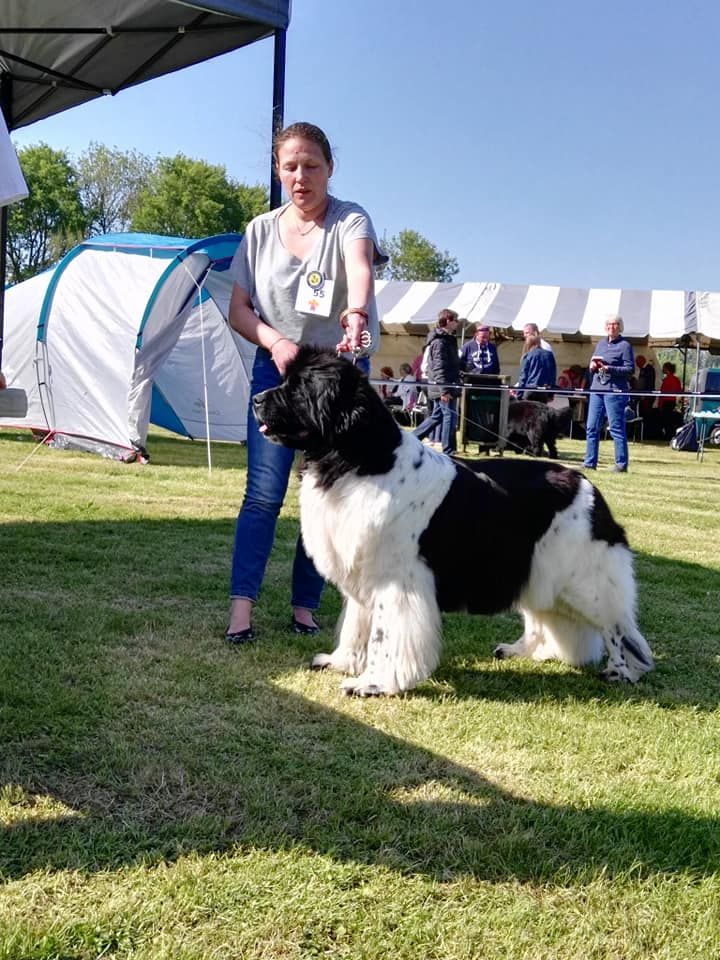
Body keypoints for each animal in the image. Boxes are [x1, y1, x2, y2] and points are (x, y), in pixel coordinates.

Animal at [252, 348, 652, 692]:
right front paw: (342, 662)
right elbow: (357, 626)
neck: (359, 459)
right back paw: (522, 650)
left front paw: (373, 683)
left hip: (586, 578)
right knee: (544, 615)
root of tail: (588, 487)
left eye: (298, 388)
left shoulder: (395, 580)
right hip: (539, 567)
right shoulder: (365, 570)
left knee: (618, 627)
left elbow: (383, 635)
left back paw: (623, 671)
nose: (256, 399)